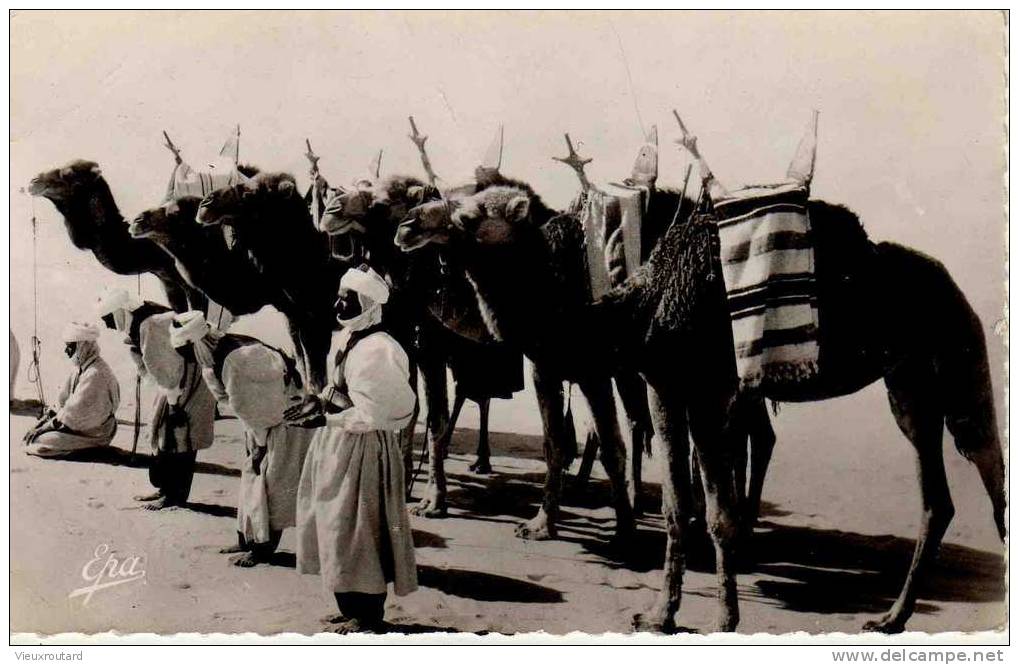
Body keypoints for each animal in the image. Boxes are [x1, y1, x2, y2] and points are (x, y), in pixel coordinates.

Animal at [192, 172, 344, 395]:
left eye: (251, 193)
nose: (206, 203)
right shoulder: (293, 317)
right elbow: (303, 362)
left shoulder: (317, 318)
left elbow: (316, 374)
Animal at [395, 183, 1002, 631]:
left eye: (471, 213)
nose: (407, 227)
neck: (641, 306)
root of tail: (950, 282)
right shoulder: (664, 387)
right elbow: (674, 504)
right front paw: (660, 613)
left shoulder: (708, 391)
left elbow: (715, 511)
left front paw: (725, 617)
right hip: (908, 383)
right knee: (937, 495)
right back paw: (891, 618)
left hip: (957, 358)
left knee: (986, 461)